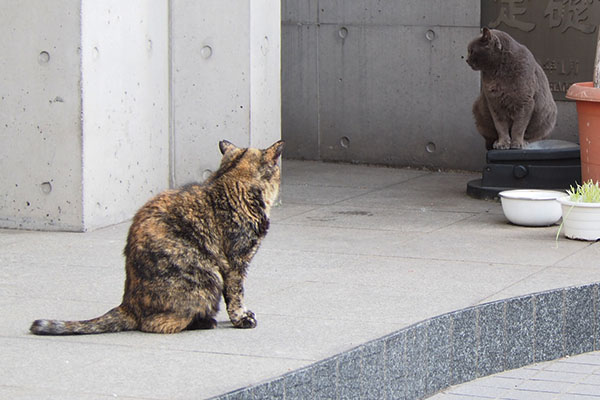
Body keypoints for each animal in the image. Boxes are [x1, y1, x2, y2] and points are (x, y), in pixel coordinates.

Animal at [31, 141, 284, 334]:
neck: (230, 178)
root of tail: (128, 304)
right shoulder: (235, 264)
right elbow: (236, 295)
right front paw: (242, 318)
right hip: (208, 276)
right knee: (156, 324)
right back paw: (204, 322)